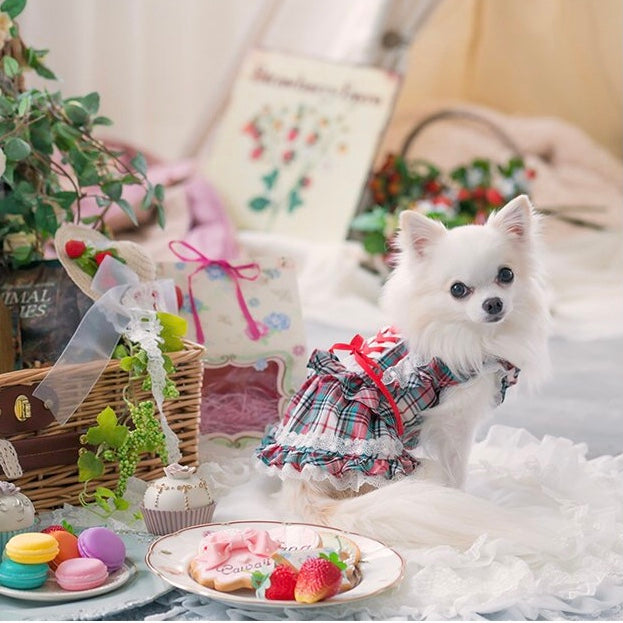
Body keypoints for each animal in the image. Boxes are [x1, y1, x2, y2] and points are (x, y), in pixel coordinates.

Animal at [260, 196, 552, 552]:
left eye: (506, 275)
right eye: (458, 290)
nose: (494, 303)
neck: (473, 335)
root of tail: (299, 484)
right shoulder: (454, 424)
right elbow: (458, 470)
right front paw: (461, 495)